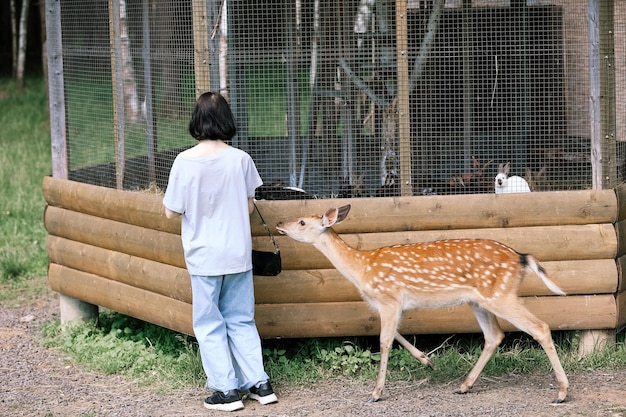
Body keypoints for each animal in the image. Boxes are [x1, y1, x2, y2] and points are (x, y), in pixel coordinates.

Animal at [276, 205, 568, 404]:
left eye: (302, 221)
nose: (279, 223)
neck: (361, 269)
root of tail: (521, 258)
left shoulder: (389, 298)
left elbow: (384, 341)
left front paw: (376, 392)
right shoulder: (391, 304)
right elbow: (394, 334)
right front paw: (427, 360)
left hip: (500, 294)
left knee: (540, 327)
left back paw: (562, 392)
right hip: (479, 300)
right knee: (495, 335)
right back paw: (464, 385)